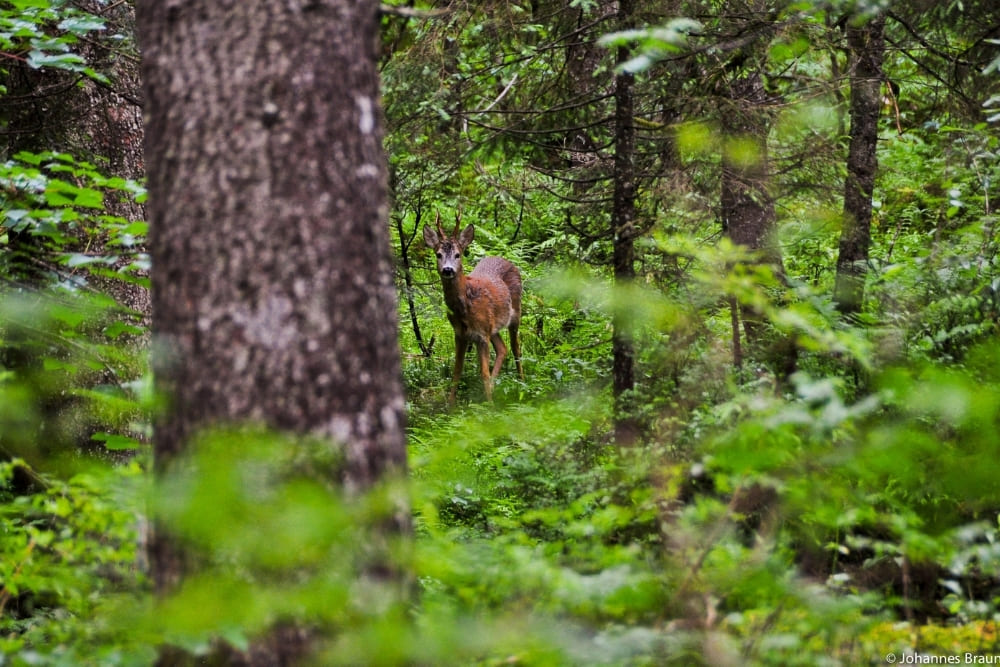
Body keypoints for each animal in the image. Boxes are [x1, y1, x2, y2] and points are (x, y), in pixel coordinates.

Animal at [422, 211, 524, 404]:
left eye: (458, 254)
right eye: (438, 254)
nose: (447, 270)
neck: (464, 309)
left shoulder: (481, 335)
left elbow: (483, 372)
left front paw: (490, 405)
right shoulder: (461, 334)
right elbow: (456, 371)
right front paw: (450, 406)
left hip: (515, 314)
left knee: (516, 348)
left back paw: (522, 383)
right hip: (493, 327)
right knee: (502, 348)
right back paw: (494, 386)